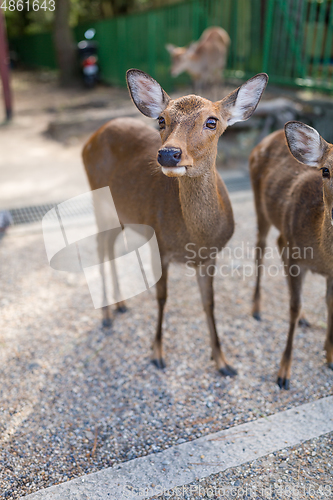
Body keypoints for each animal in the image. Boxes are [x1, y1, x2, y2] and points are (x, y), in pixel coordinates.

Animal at [83, 69, 268, 376]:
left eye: (212, 121)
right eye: (161, 119)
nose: (169, 154)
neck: (195, 237)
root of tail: (91, 138)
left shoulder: (209, 257)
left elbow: (209, 302)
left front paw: (223, 362)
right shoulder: (159, 244)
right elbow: (162, 297)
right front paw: (157, 353)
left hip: (122, 212)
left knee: (109, 244)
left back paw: (121, 306)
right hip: (99, 201)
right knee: (100, 245)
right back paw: (107, 315)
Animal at [250, 121, 332, 390]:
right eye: (325, 170)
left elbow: (329, 303)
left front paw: (329, 356)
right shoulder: (295, 257)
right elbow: (293, 308)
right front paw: (283, 373)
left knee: (276, 243)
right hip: (260, 206)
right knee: (260, 248)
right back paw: (256, 308)